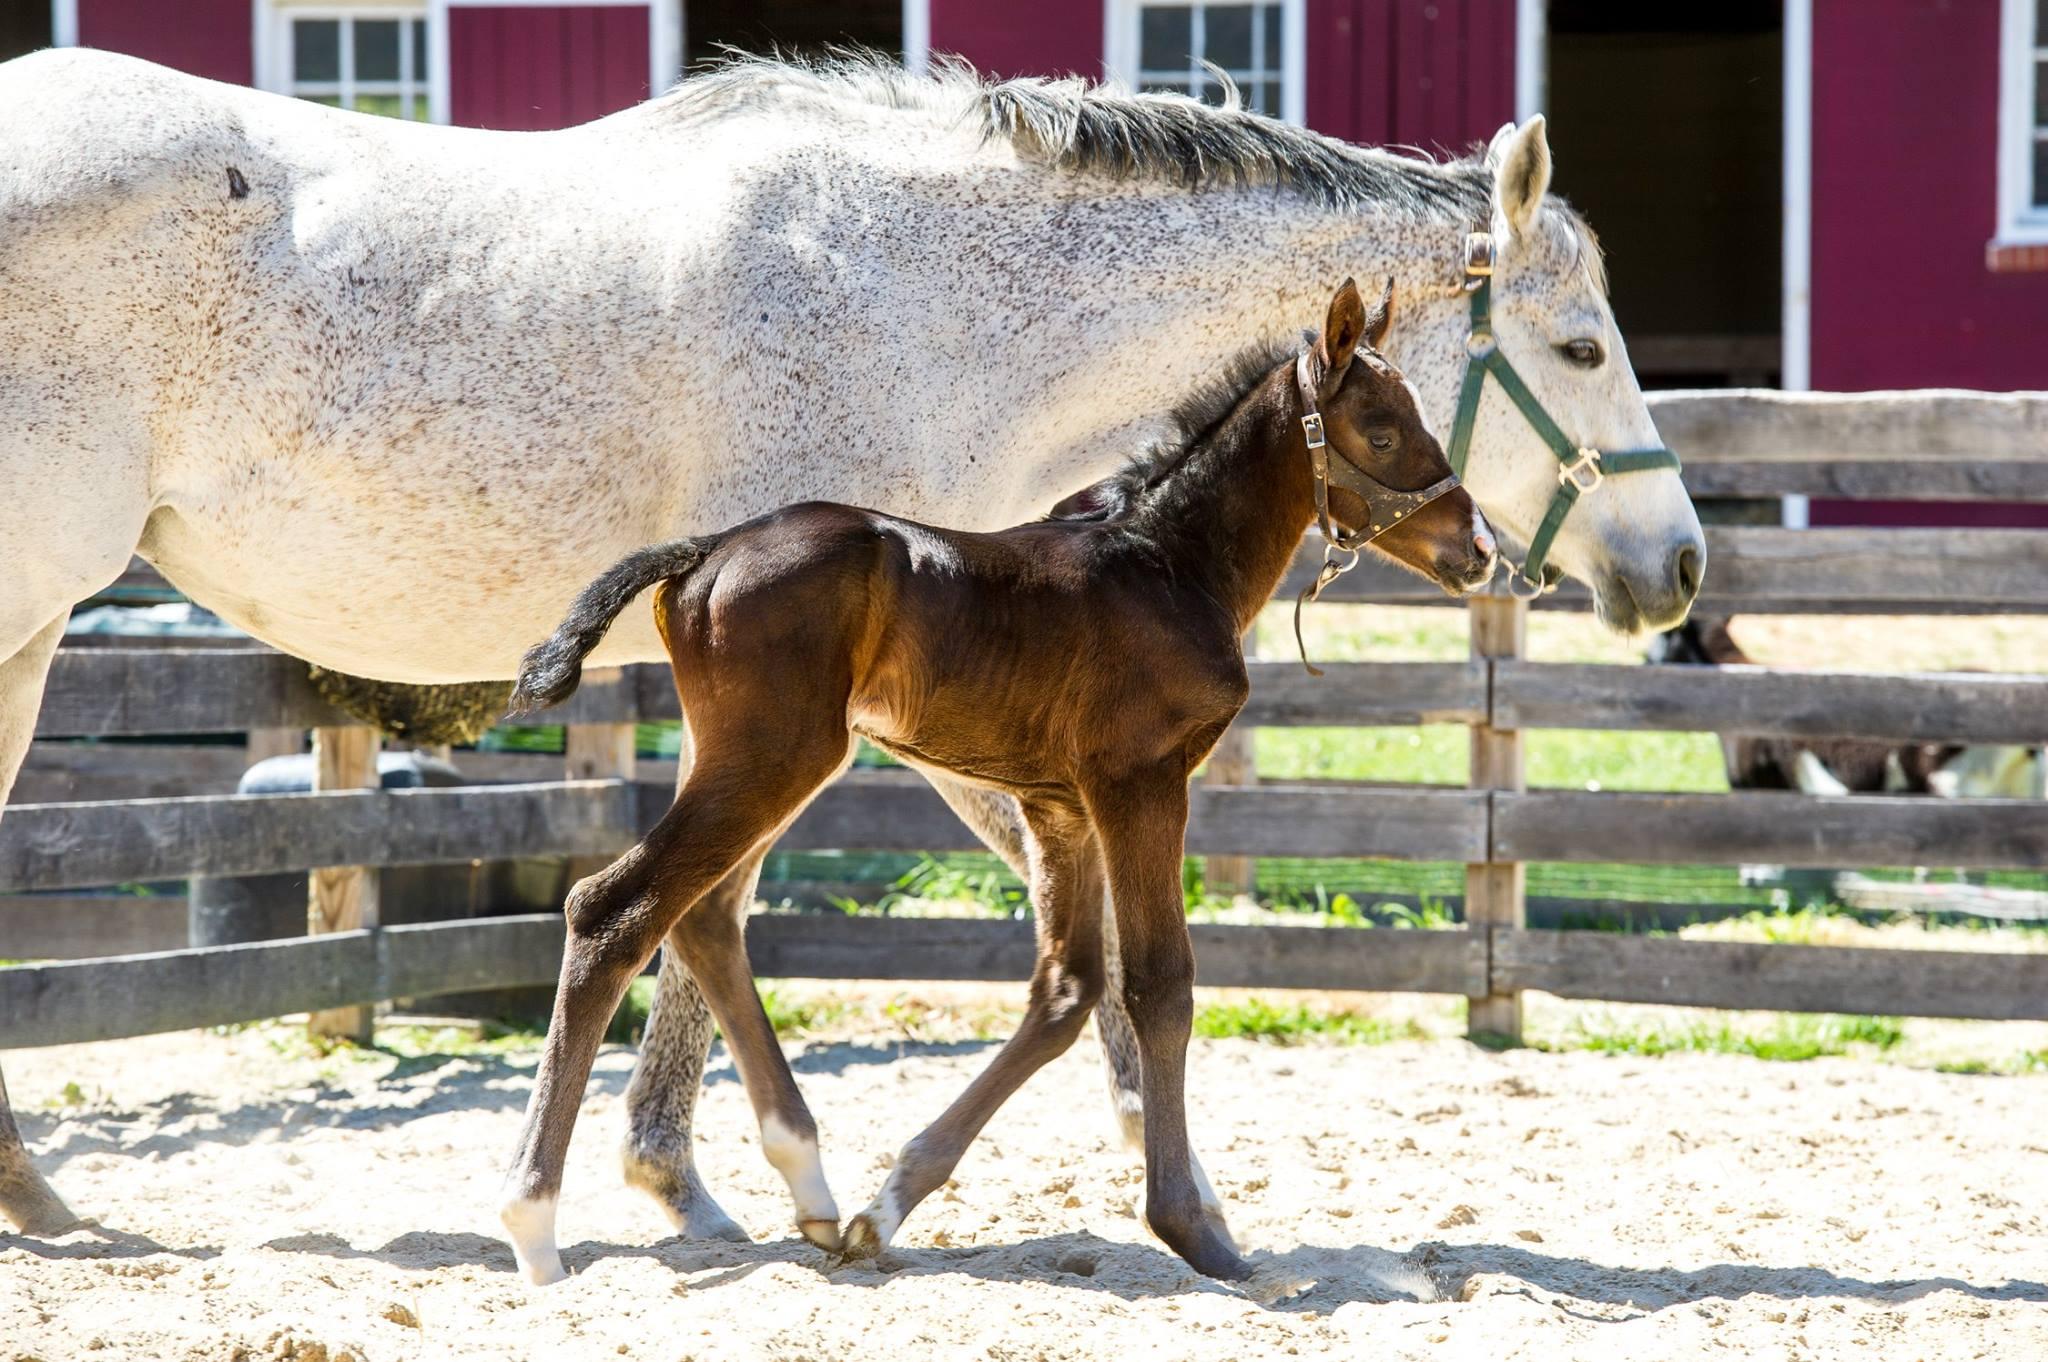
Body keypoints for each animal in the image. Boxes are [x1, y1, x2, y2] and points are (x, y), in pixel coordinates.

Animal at [495, 278, 1490, 1286]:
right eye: (1380, 431)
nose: (1480, 548)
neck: (1167, 563)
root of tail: (704, 551)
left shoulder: (1061, 808)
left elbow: (1066, 991)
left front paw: (888, 1207)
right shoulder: (1141, 784)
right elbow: (1159, 983)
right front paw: (1196, 1232)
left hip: (751, 759)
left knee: (700, 919)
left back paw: (811, 1190)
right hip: (773, 758)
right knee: (615, 910)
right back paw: (533, 1223)